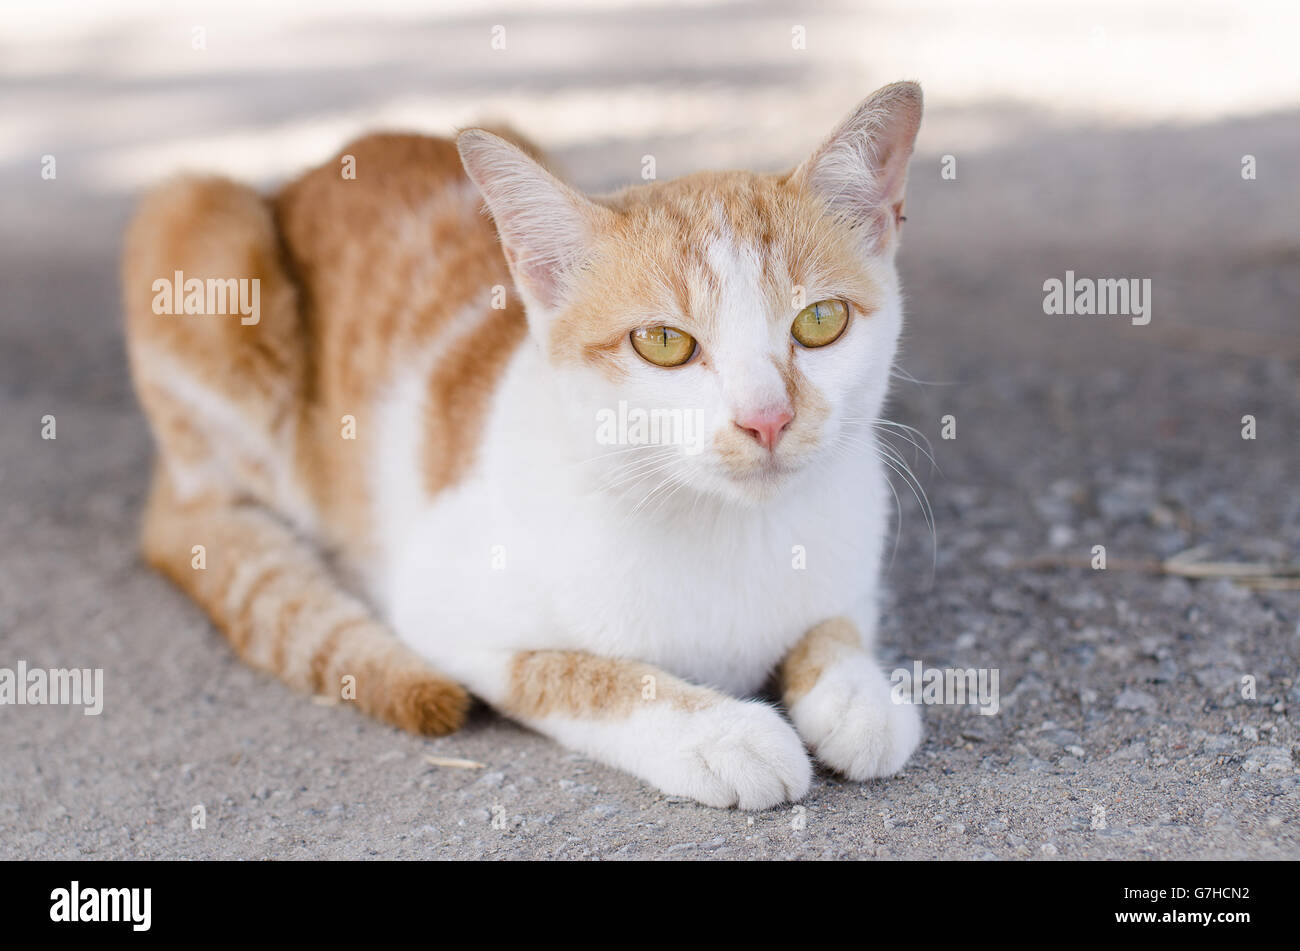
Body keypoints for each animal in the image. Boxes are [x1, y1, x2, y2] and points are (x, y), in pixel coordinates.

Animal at [124, 83, 925, 810]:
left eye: (820, 321)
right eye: (663, 342)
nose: (766, 418)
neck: (727, 529)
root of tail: (317, 167)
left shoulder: (854, 562)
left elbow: (837, 623)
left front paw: (859, 696)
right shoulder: (440, 609)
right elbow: (578, 674)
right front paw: (721, 734)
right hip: (197, 227)